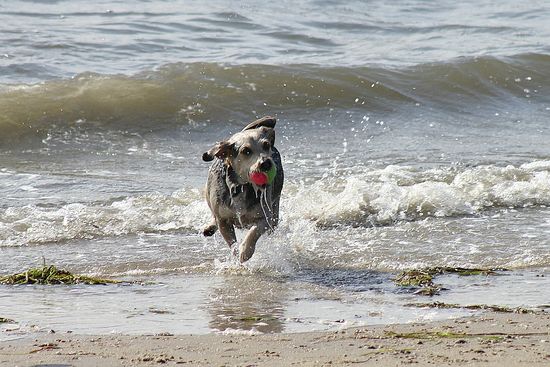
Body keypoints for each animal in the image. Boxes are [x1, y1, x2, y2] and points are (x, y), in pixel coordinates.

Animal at [202, 116, 284, 264]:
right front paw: (236, 254)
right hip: (209, 193)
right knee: (213, 213)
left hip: (274, 214)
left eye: (266, 145)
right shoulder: (223, 221)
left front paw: (245, 251)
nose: (266, 163)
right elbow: (231, 242)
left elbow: (253, 232)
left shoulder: (265, 218)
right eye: (246, 151)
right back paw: (210, 226)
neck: (241, 186)